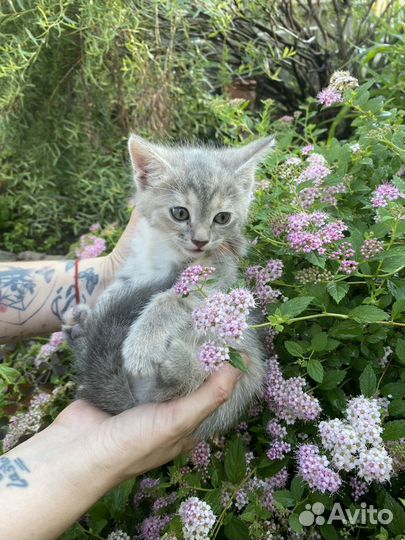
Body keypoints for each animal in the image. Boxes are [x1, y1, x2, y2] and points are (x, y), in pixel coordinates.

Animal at [64, 134, 274, 438]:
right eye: (180, 213)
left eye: (222, 218)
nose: (200, 241)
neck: (164, 251)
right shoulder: (133, 267)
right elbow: (116, 291)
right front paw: (94, 315)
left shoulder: (217, 276)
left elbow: (171, 300)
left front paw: (141, 345)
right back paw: (81, 335)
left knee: (178, 386)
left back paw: (177, 362)